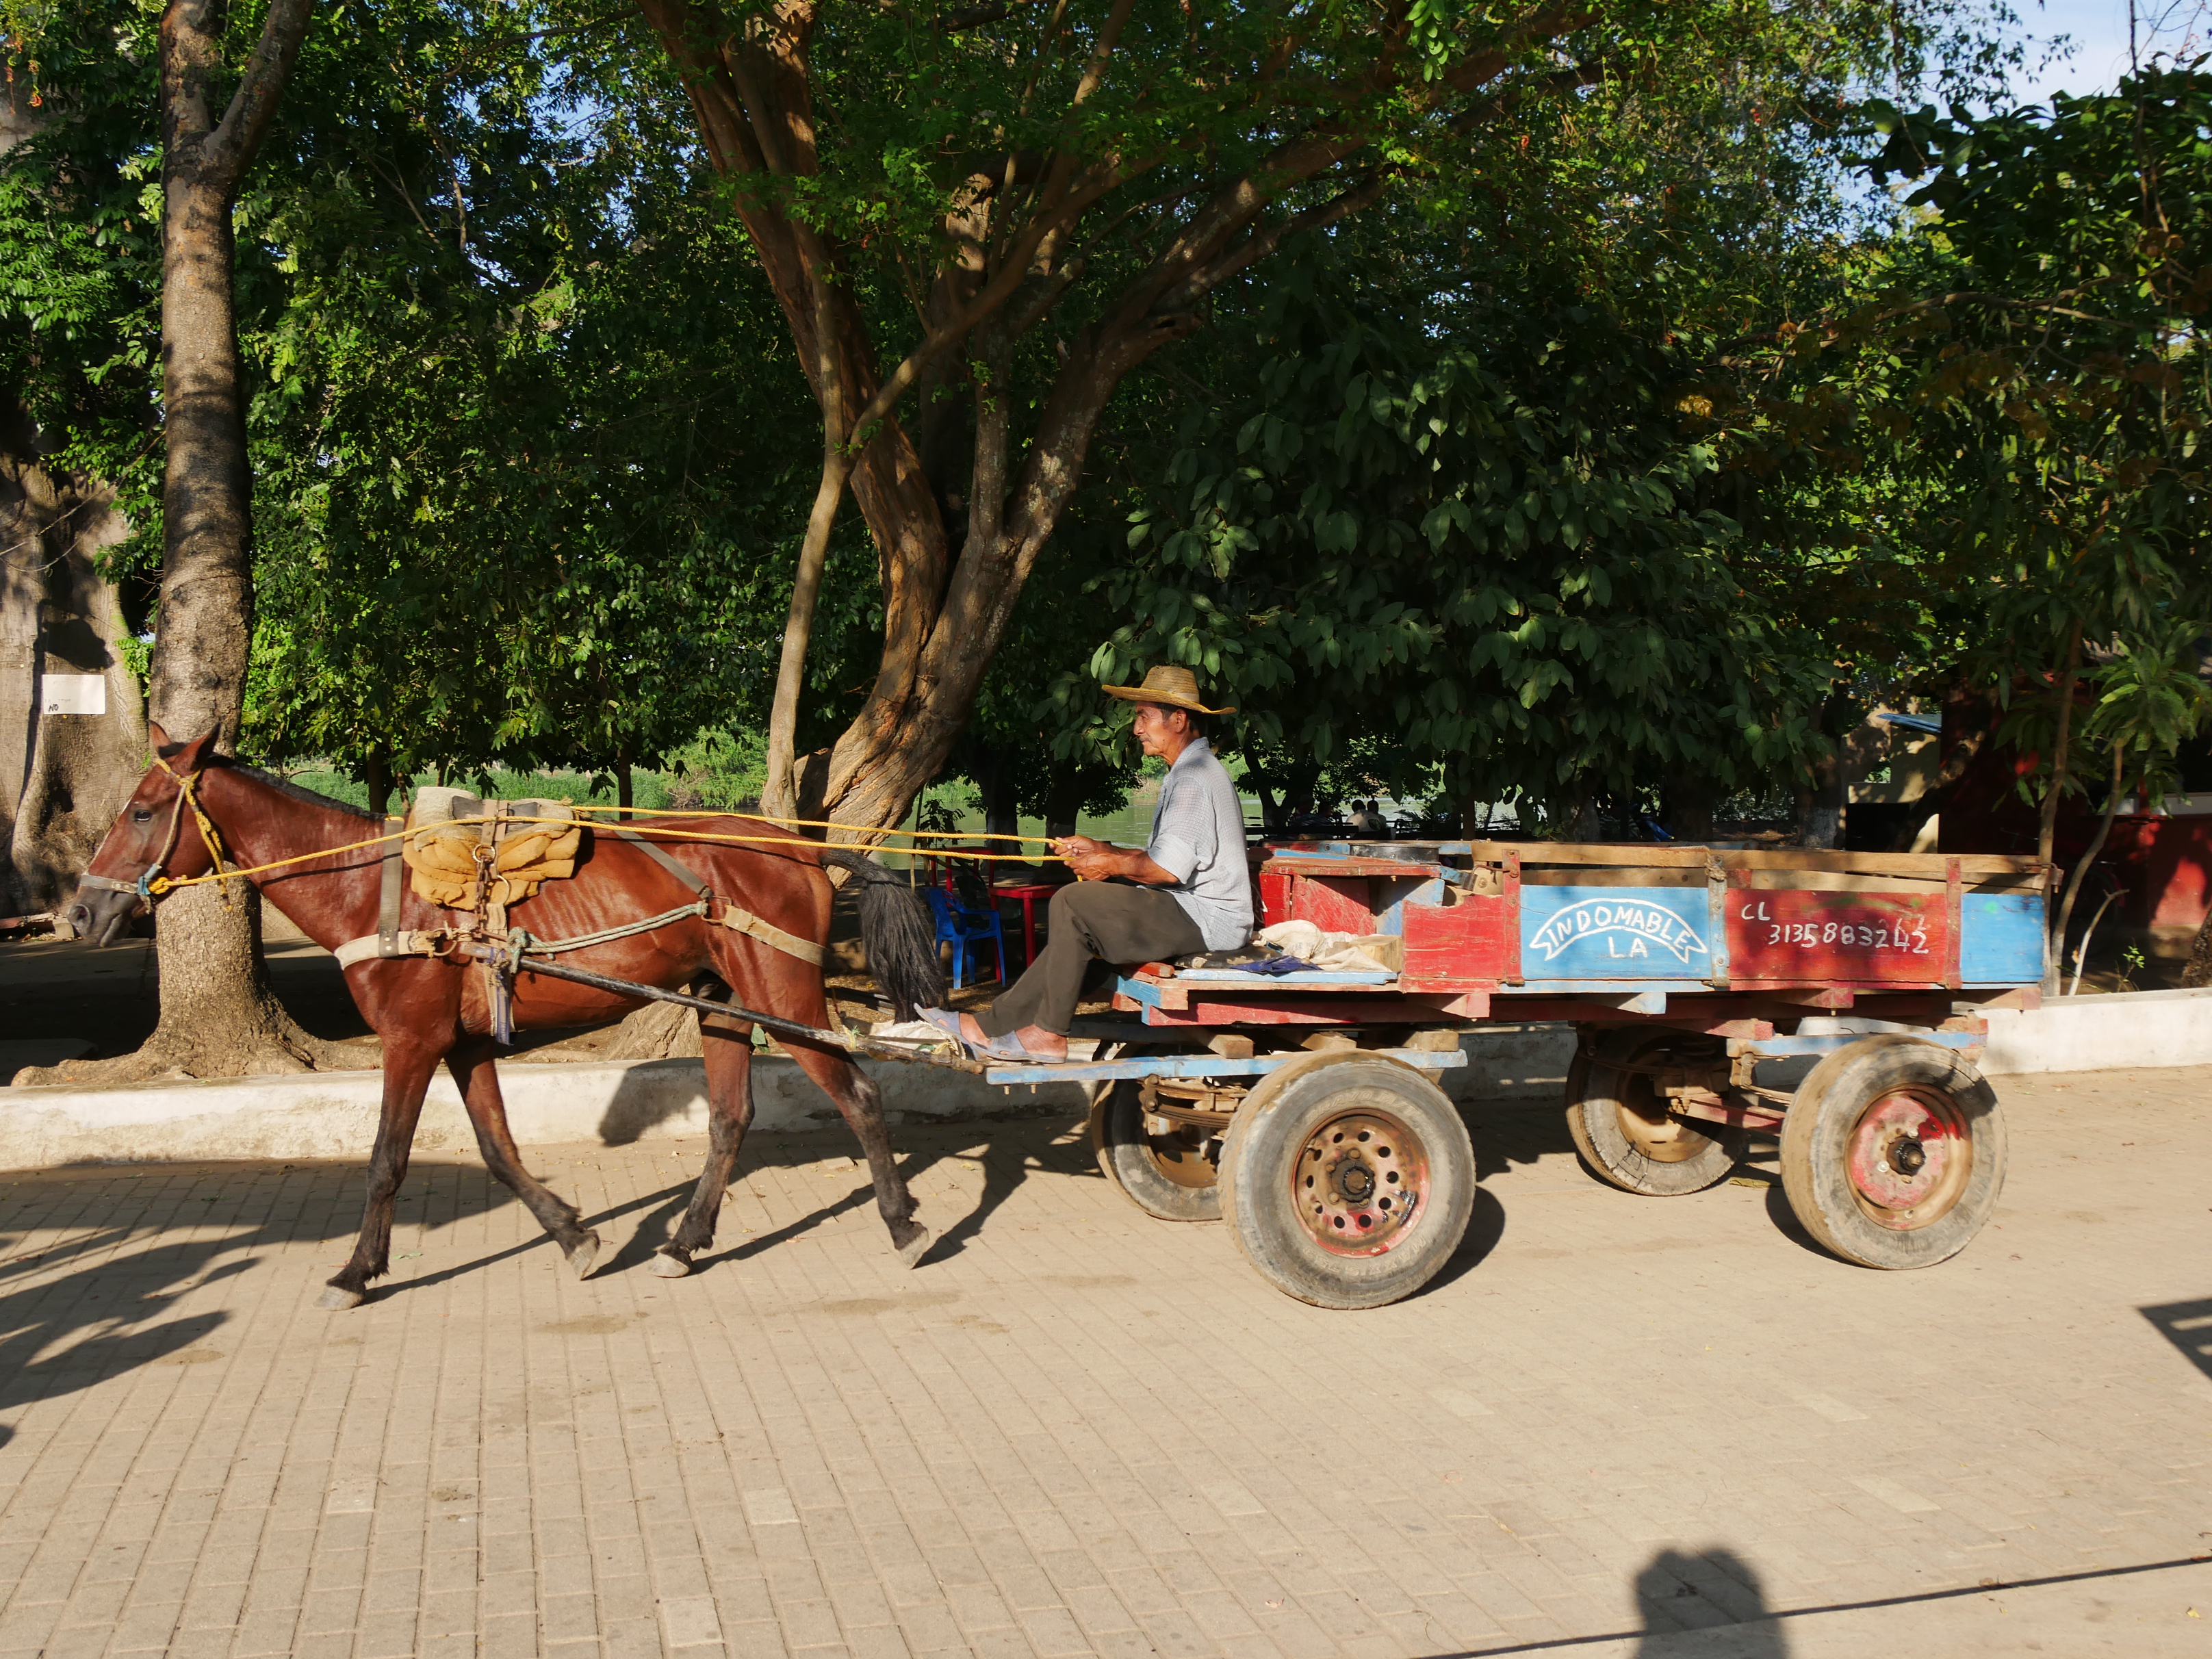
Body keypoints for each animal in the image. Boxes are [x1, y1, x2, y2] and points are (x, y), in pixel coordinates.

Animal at [69, 726, 948, 1309]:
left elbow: (386, 1160)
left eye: (144, 811)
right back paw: (684, 1242)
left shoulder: (409, 1042)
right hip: (725, 1004)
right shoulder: (459, 1046)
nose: (79, 912)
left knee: (858, 1096)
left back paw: (904, 1226)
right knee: (730, 1119)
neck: (373, 889)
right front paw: (575, 1236)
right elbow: (498, 1150)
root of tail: (802, 849)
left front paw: (356, 1272)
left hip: (784, 997)